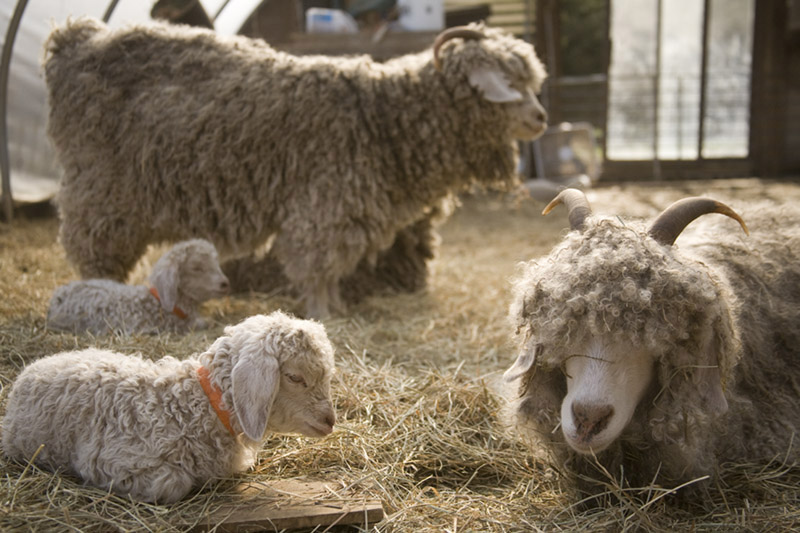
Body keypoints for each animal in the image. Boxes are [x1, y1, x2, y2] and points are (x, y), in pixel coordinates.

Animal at [2, 312, 337, 504]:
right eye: (294, 377)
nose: (330, 421)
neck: (194, 405)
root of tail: (31, 368)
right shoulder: (110, 459)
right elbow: (175, 482)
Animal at [43, 18, 548, 318]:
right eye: (509, 82)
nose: (542, 118)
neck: (382, 117)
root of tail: (73, 39)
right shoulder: (325, 204)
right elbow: (318, 266)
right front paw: (325, 314)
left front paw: (336, 310)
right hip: (101, 189)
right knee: (93, 250)